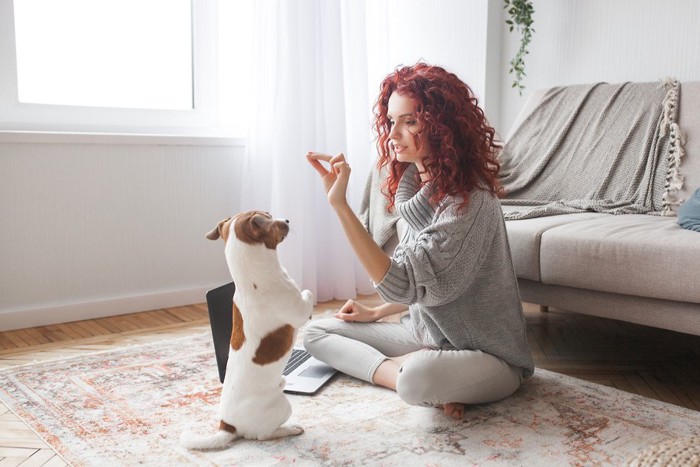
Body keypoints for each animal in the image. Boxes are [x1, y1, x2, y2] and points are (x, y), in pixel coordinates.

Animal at [180, 211, 314, 450]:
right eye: (269, 218)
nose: (287, 220)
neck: (252, 280)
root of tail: (227, 426)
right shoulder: (298, 310)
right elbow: (307, 294)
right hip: (282, 406)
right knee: (262, 435)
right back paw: (291, 428)